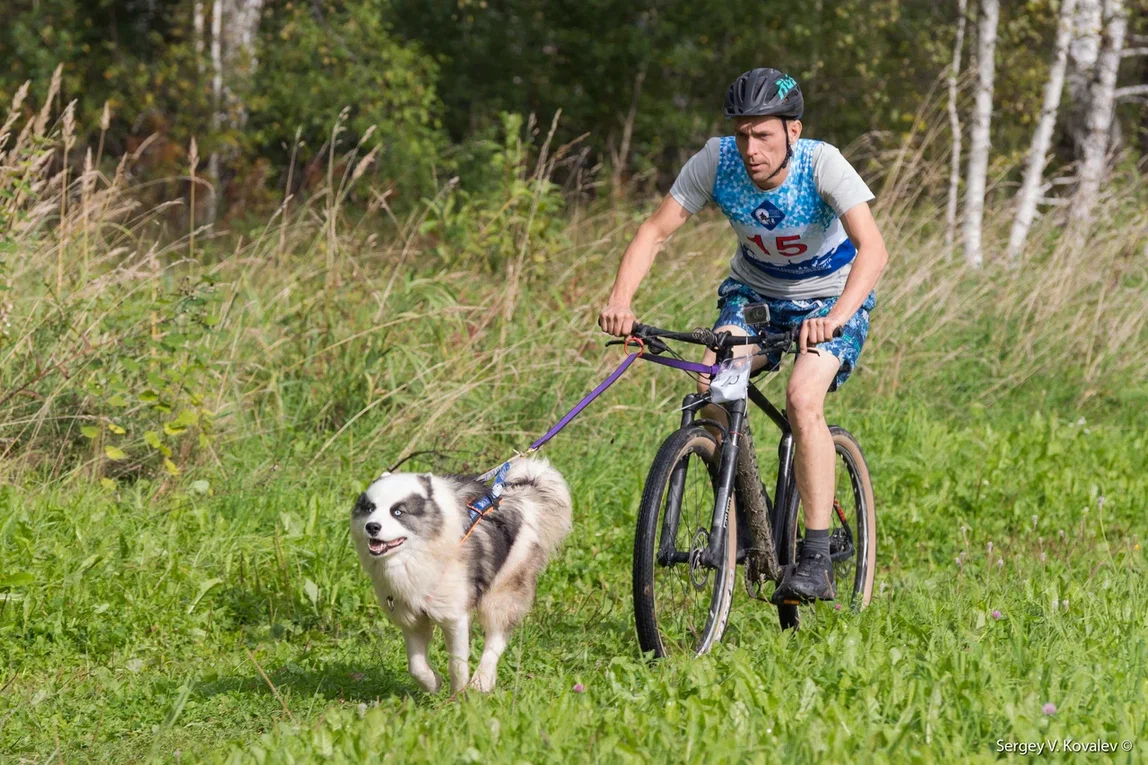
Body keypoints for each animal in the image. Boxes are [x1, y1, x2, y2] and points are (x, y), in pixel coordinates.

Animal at [344, 454, 569, 693]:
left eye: (398, 512)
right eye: (369, 508)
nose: (372, 527)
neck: (416, 554)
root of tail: (523, 497)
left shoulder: (454, 617)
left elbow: (458, 664)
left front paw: (458, 697)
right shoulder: (412, 619)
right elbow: (416, 666)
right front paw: (433, 684)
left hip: (504, 589)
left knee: (496, 638)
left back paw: (482, 680)